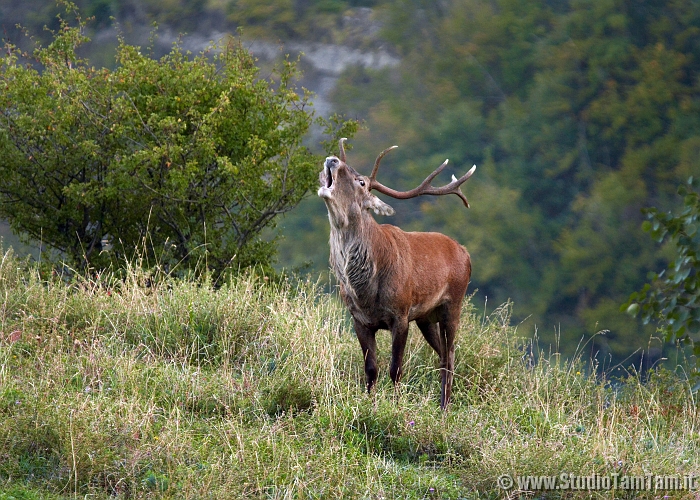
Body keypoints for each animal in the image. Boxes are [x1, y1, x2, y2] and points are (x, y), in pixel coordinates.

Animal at [318, 139, 476, 408]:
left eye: (362, 182)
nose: (332, 160)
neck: (366, 292)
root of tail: (465, 253)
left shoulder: (400, 315)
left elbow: (396, 369)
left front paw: (396, 405)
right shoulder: (359, 319)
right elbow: (371, 369)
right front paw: (369, 404)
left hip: (453, 304)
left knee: (450, 355)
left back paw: (444, 407)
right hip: (425, 318)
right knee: (443, 355)